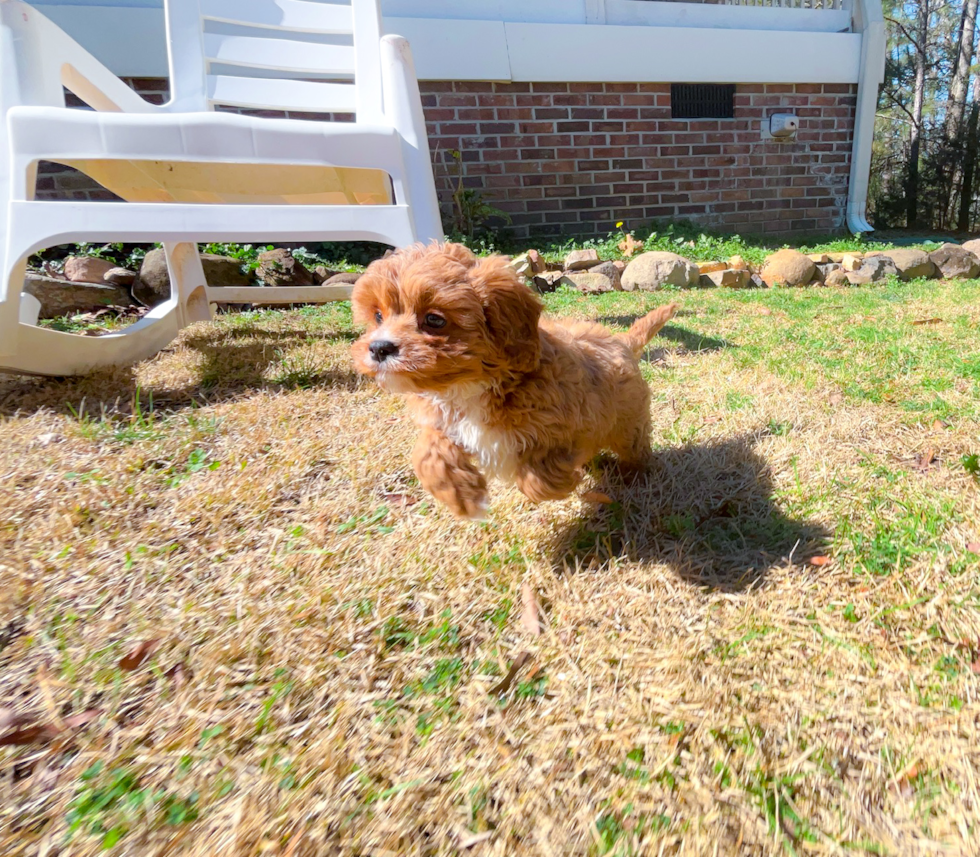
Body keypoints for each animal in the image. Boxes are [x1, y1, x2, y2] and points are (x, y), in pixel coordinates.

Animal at [352, 244, 680, 520]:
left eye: (434, 320)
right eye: (378, 315)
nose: (379, 348)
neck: (470, 386)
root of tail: (622, 341)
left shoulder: (565, 424)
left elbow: (540, 473)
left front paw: (557, 480)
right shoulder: (447, 423)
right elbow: (428, 452)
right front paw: (462, 497)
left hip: (628, 421)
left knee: (635, 448)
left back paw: (633, 474)